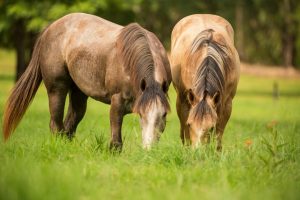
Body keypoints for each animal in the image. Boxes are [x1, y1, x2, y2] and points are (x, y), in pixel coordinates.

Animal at [2, 12, 171, 149]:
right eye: (141, 114)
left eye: (163, 114)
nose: (149, 149)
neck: (130, 62)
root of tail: (50, 28)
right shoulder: (117, 103)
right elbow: (116, 142)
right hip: (57, 88)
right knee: (56, 124)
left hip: (79, 92)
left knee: (70, 125)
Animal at [170, 14, 240, 150]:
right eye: (190, 124)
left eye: (211, 127)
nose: (198, 151)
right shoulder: (185, 101)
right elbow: (186, 132)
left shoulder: (226, 104)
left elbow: (218, 135)